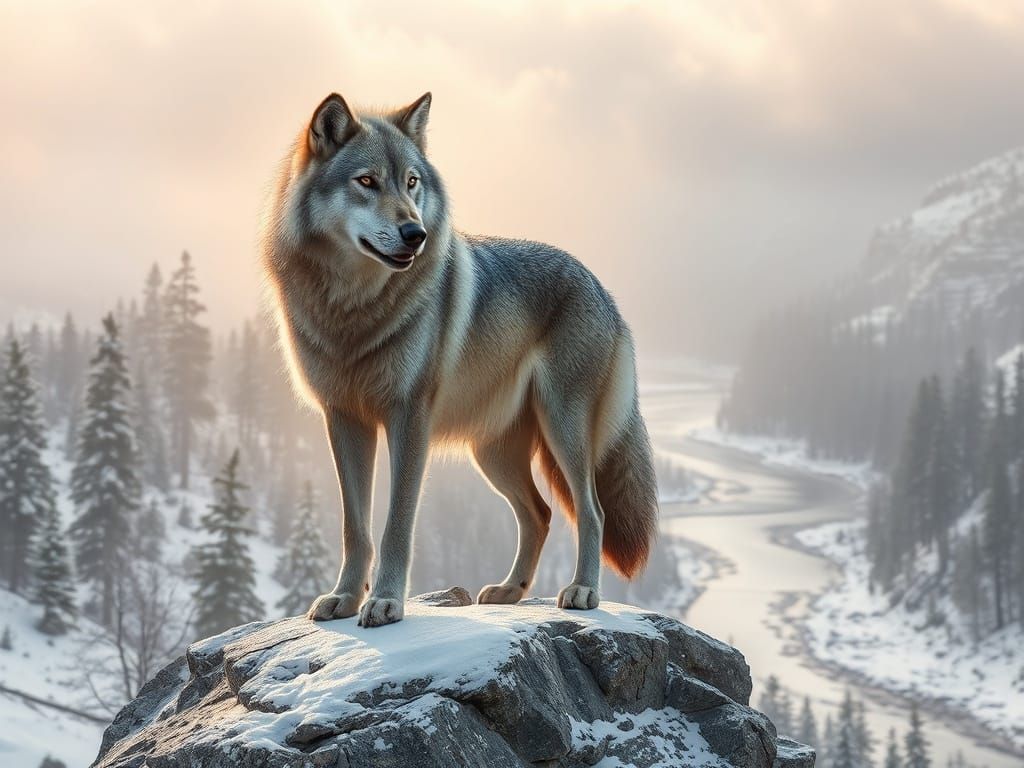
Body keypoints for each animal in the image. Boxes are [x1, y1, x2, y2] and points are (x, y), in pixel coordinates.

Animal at [261, 92, 658, 627]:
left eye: (411, 182)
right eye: (366, 181)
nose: (415, 233)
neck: (353, 308)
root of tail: (602, 288)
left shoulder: (409, 418)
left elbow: (396, 523)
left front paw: (386, 602)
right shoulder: (344, 419)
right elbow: (354, 527)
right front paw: (344, 598)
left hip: (562, 430)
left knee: (590, 511)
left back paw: (582, 591)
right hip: (492, 453)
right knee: (540, 514)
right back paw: (509, 590)